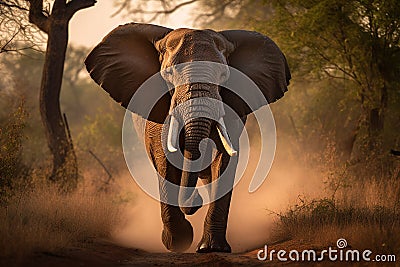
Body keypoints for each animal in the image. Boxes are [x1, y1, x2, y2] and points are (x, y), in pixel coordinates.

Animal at [85, 22, 290, 253]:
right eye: (169, 74)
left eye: (223, 75)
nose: (194, 202)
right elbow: (164, 158)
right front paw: (178, 242)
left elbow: (223, 160)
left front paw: (211, 248)